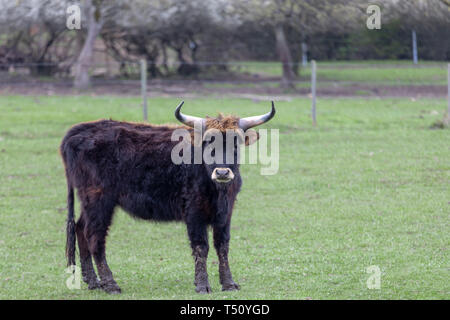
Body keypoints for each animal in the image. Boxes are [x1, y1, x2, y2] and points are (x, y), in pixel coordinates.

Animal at [61, 101, 276, 294]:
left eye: (236, 143)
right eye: (208, 142)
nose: (222, 172)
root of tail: (78, 132)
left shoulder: (225, 213)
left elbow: (222, 245)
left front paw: (229, 283)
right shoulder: (194, 212)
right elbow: (201, 247)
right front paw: (202, 285)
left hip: (88, 202)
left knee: (80, 228)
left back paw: (92, 281)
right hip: (99, 200)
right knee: (95, 236)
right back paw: (110, 284)